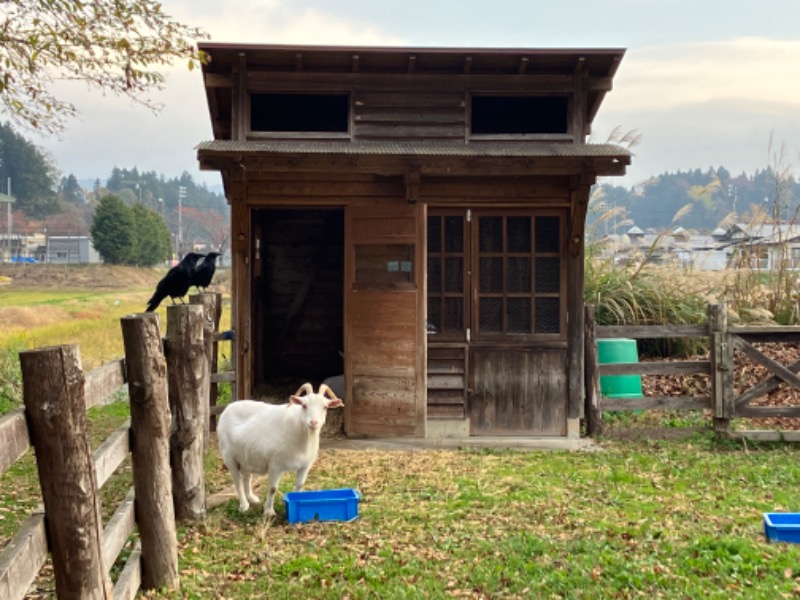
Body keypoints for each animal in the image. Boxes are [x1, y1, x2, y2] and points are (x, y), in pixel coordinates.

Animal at [219, 384, 344, 516]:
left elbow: (300, 485)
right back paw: (244, 505)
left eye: (325, 407)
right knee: (237, 481)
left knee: (246, 477)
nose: (314, 422)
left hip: (246, 456)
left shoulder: (305, 466)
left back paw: (252, 498)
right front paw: (269, 511)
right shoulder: (275, 465)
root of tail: (228, 407)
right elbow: (273, 488)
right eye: (304, 405)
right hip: (229, 456)